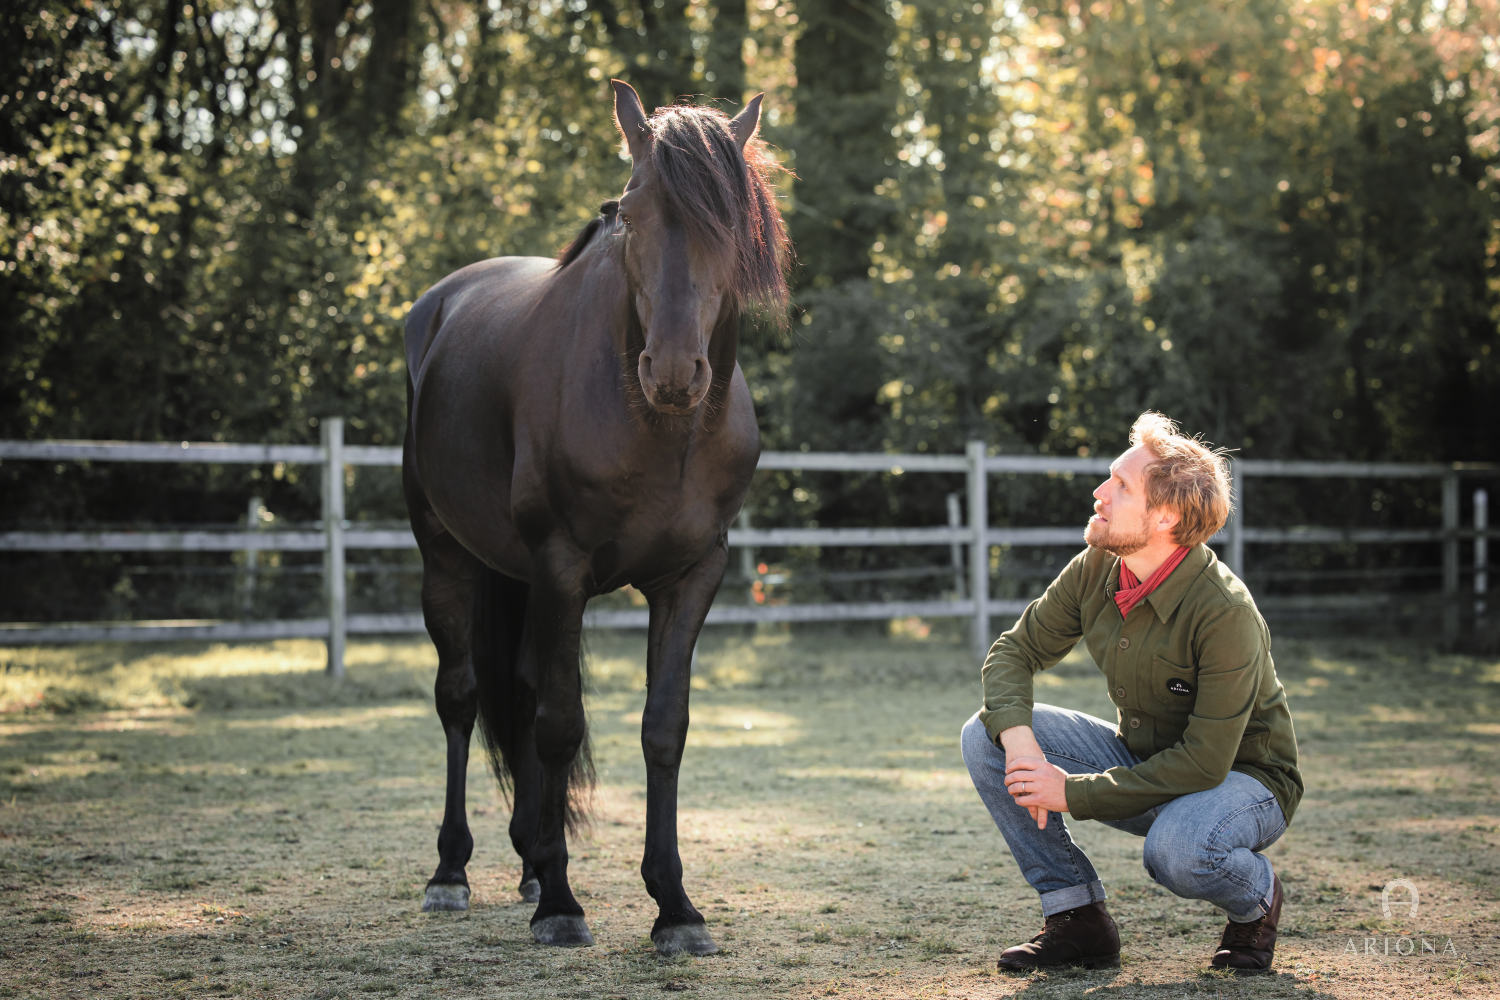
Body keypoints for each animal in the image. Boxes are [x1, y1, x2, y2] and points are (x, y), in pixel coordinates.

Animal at [400, 80, 790, 956]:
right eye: (630, 213)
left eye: (731, 223)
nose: (673, 371)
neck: (661, 431)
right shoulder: (561, 567)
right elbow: (559, 725)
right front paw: (562, 904)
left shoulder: (692, 576)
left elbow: (663, 728)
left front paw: (675, 906)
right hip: (446, 559)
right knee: (462, 699)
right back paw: (454, 872)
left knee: (515, 690)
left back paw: (530, 860)